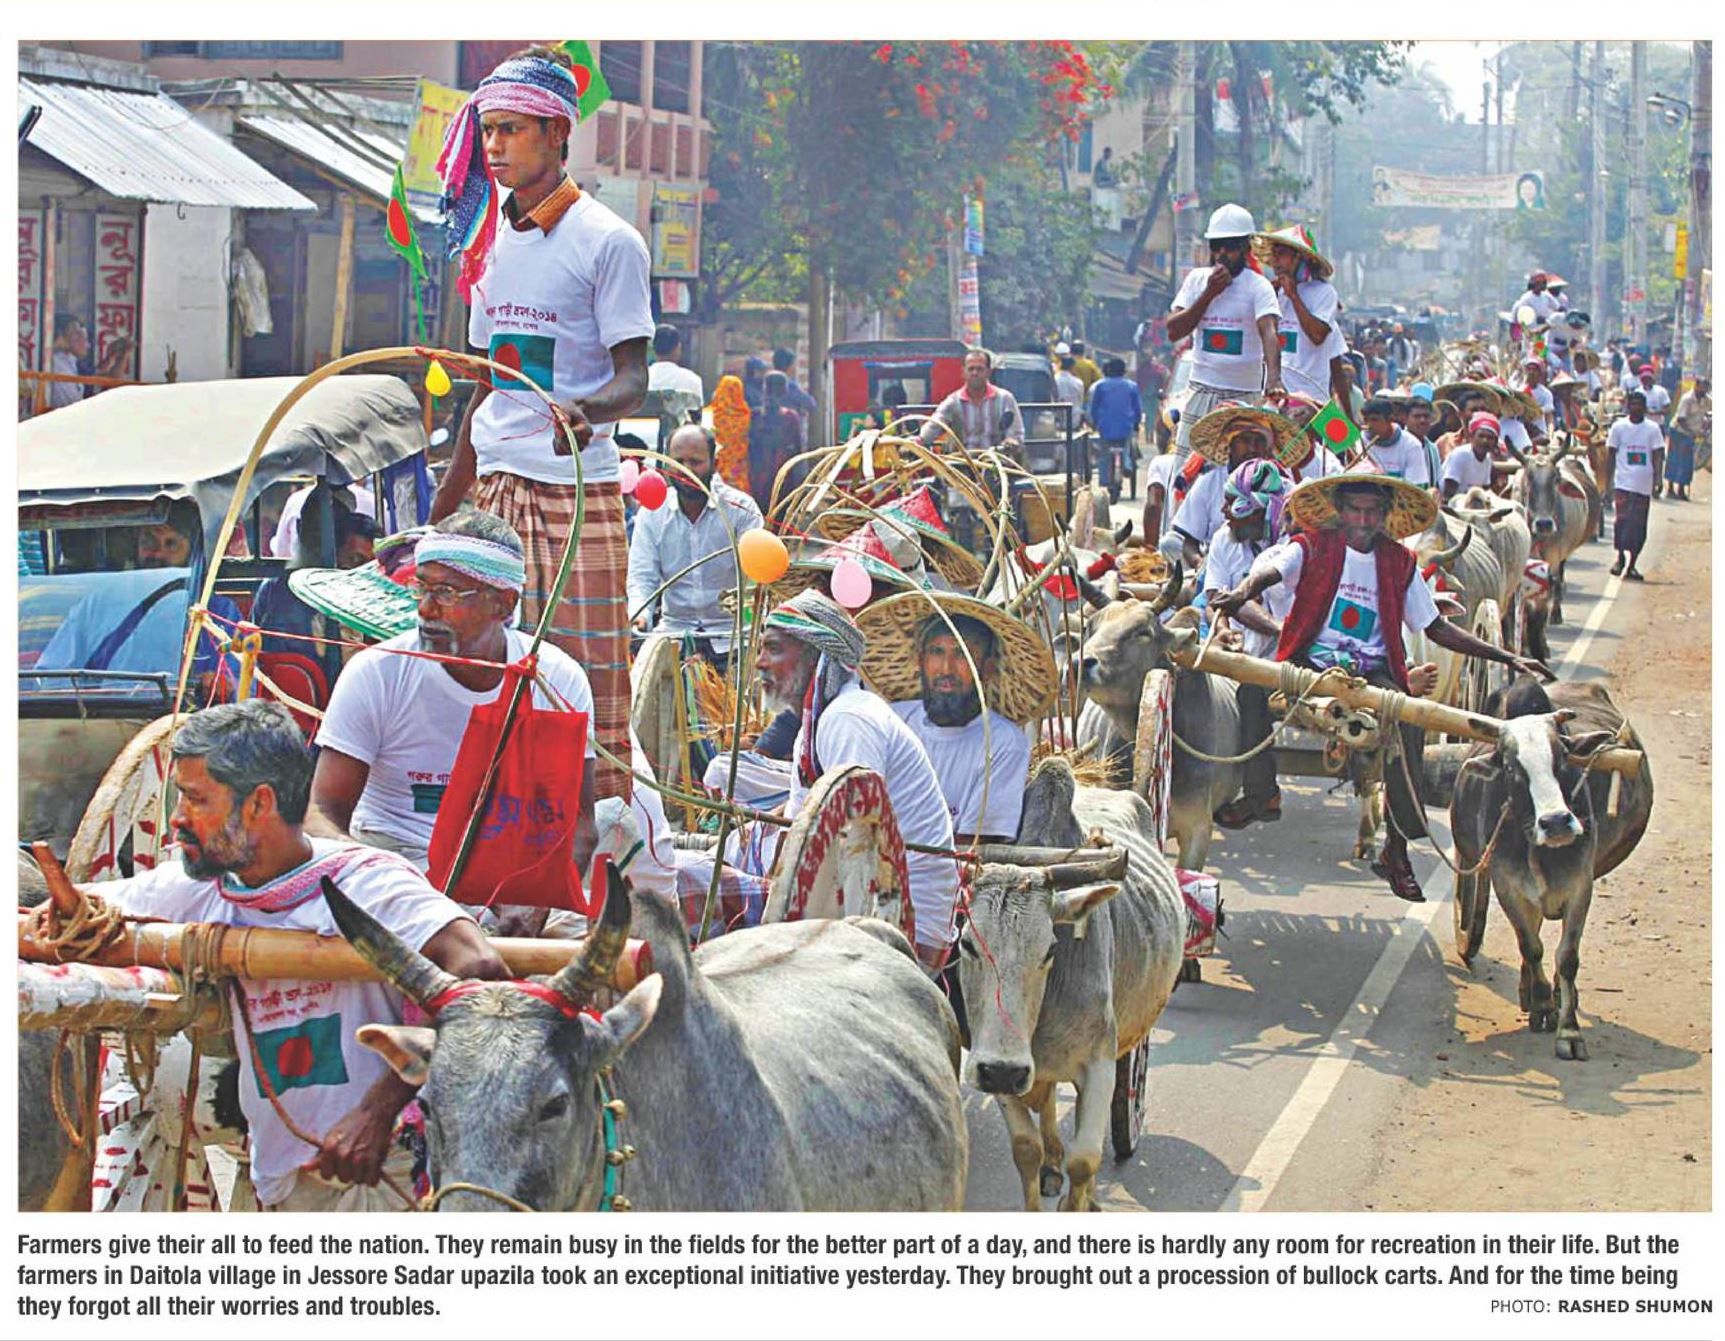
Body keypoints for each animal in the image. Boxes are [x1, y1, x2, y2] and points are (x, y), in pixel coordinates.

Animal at [960, 757, 1185, 1210]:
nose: (1004, 1070)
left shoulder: (1099, 1065)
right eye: (966, 944)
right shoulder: (992, 1064)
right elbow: (1026, 1149)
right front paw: (1043, 1172)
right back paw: (1052, 1166)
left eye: (1050, 949)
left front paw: (1079, 1202)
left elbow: (1085, 1160)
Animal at [1450, 677, 1653, 1061]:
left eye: (1561, 757)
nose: (1557, 822)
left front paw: (1569, 1029)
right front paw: (1543, 1006)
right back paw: (1532, 994)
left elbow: (1567, 957)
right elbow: (1531, 947)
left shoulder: (1580, 887)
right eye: (1511, 768)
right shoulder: (1507, 886)